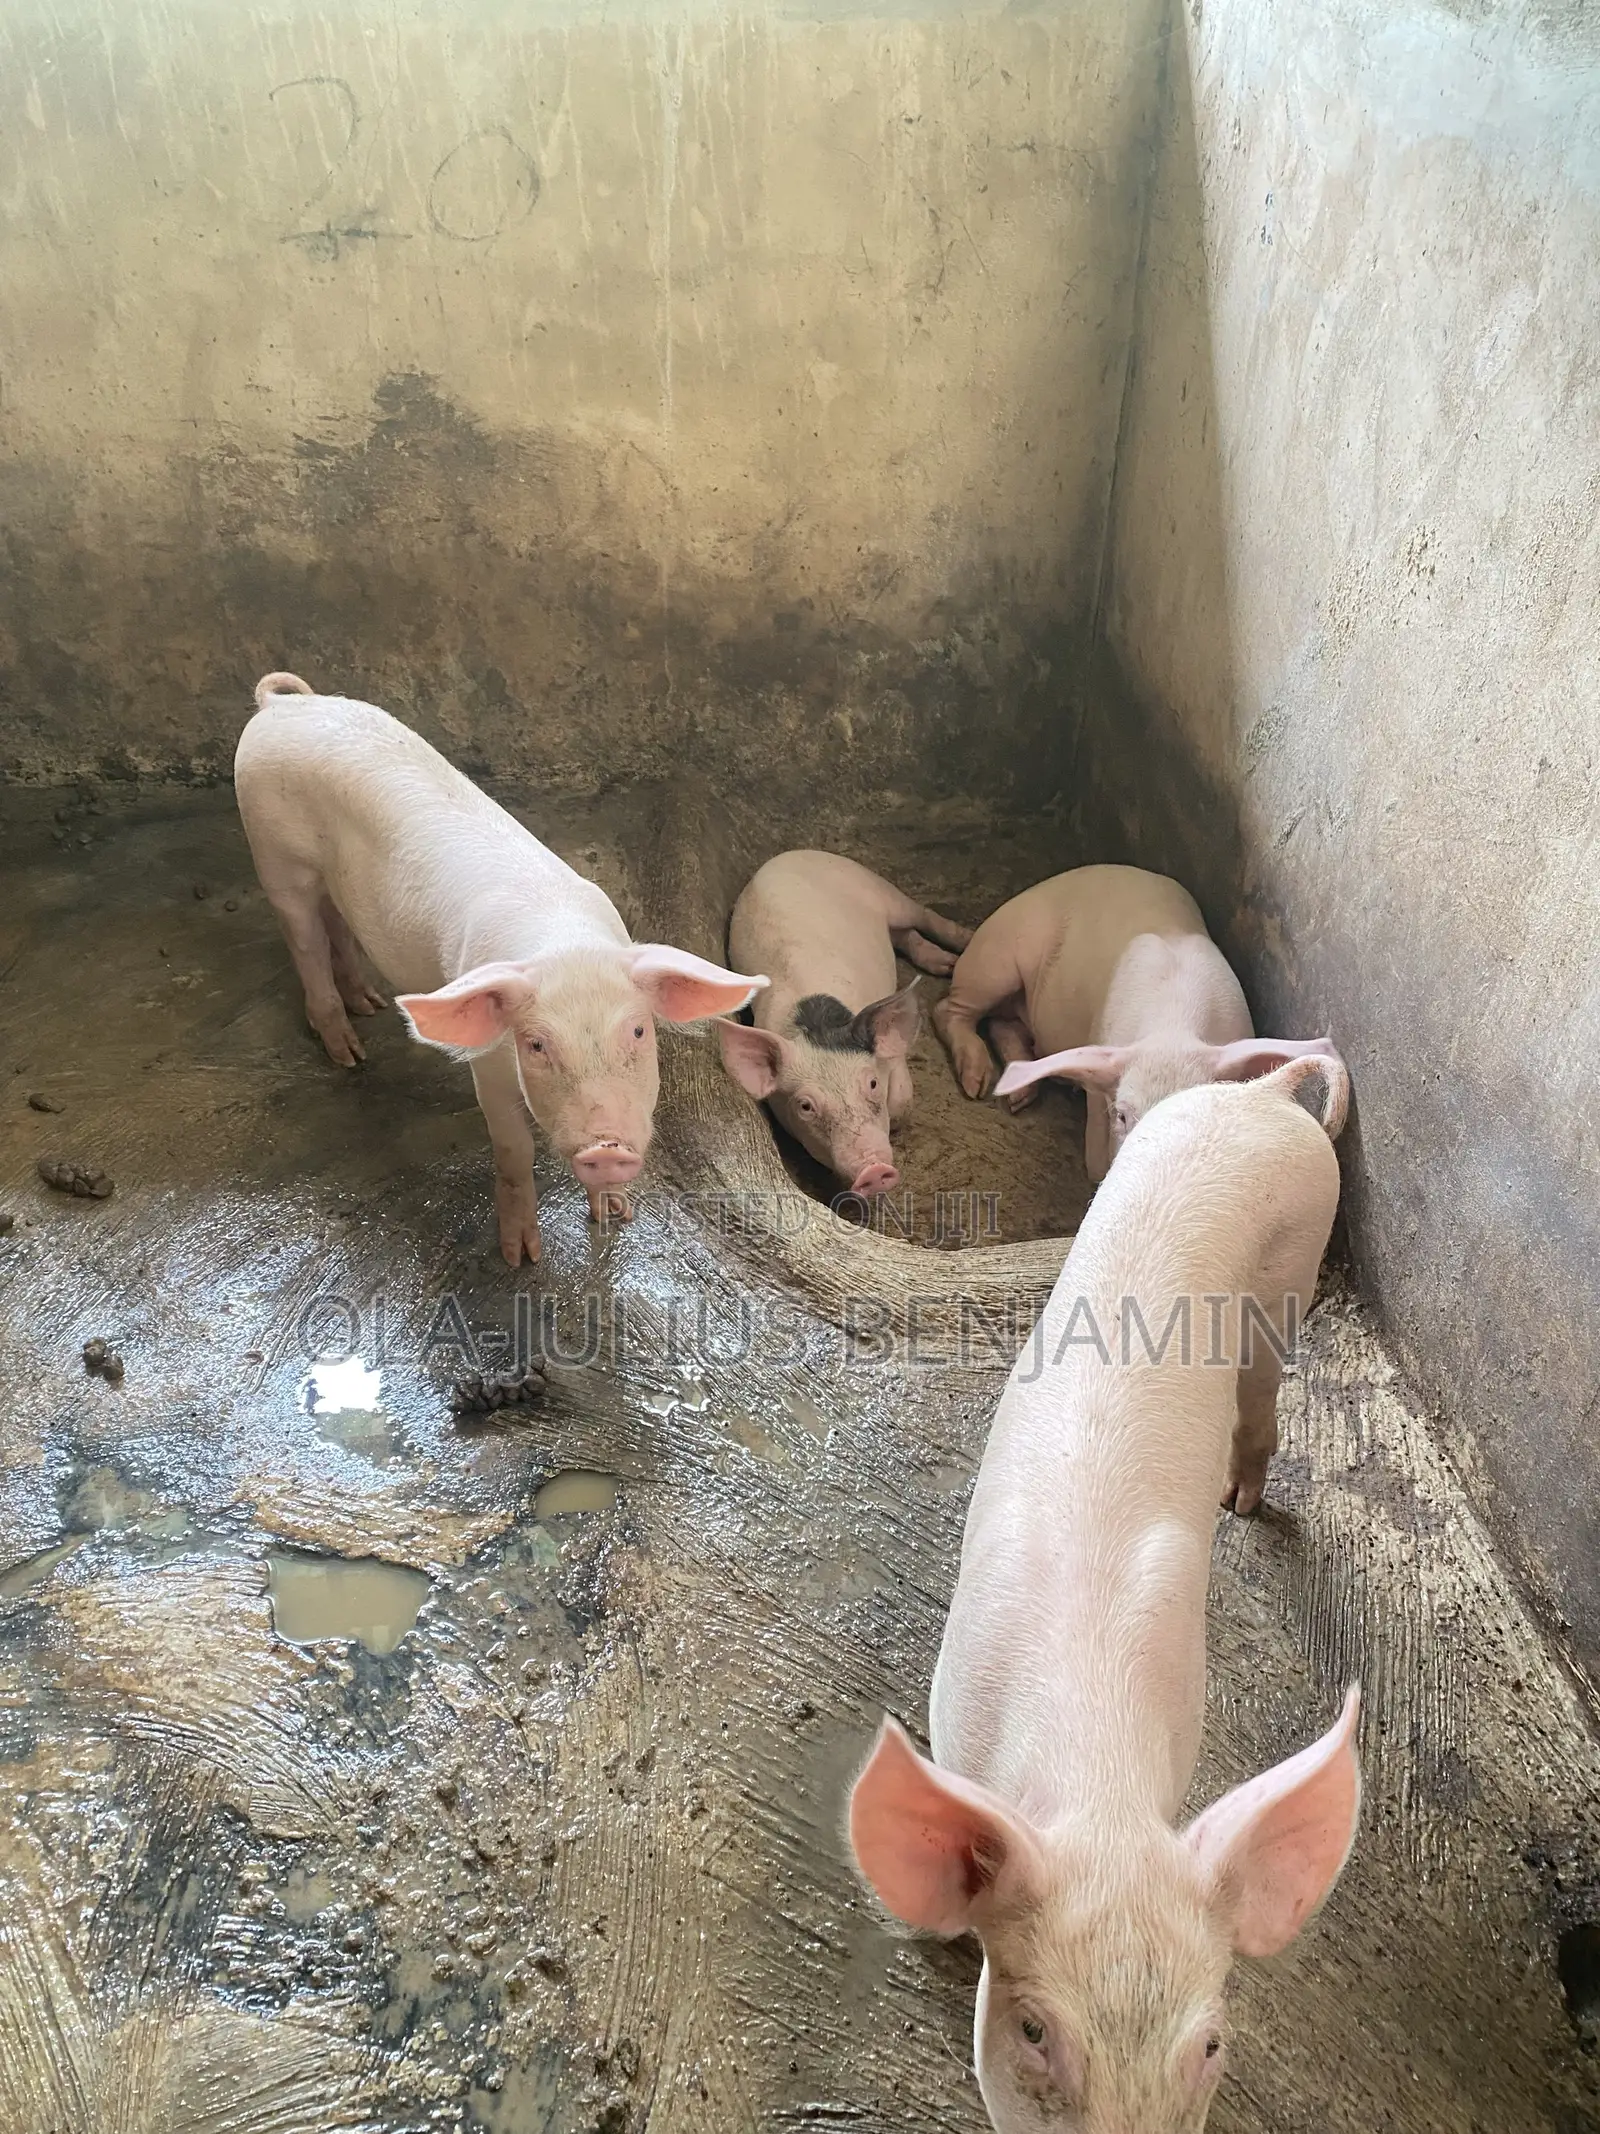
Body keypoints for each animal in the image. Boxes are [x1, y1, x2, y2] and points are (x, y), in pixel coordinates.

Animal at [235, 674, 766, 1264]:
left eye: (638, 1031)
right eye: (535, 1045)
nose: (607, 1147)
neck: (564, 944)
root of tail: (280, 706)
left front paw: (617, 1213)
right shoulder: (487, 1066)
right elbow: (514, 1152)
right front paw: (521, 1257)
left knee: (337, 925)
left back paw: (369, 1004)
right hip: (276, 857)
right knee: (304, 941)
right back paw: (350, 1055)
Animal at [715, 850, 971, 1198]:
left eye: (872, 1084)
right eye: (806, 1106)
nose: (873, 1171)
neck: (818, 1027)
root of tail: (787, 856)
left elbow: (902, 1104)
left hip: (878, 887)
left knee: (923, 916)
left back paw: (958, 954)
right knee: (904, 936)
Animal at [849, 1055, 1361, 2134]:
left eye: (1210, 2044)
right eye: (1035, 2031)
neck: (1098, 1778)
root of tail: (1259, 1098)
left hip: (1294, 1272)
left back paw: (1241, 1502)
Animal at [933, 863, 1340, 1180]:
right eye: (1122, 1116)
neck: (1172, 1028)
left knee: (1004, 1026)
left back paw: (1019, 1098)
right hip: (995, 960)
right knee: (948, 1009)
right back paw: (977, 1083)